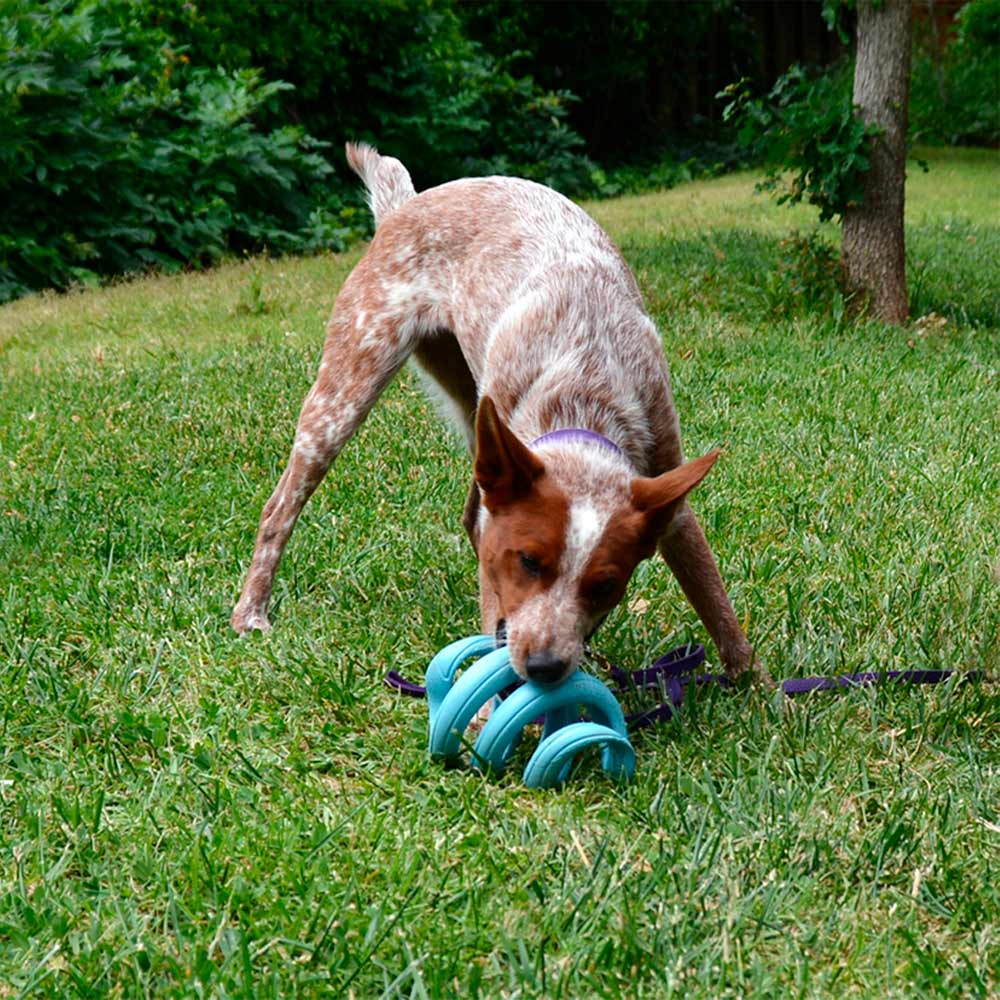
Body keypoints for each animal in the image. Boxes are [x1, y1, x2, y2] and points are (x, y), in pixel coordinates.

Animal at [231, 143, 764, 686]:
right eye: (527, 561)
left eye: (605, 585)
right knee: (279, 508)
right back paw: (250, 613)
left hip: (475, 411)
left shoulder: (668, 491)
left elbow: (717, 605)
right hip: (345, 394)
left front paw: (758, 689)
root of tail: (405, 204)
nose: (545, 668)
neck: (584, 386)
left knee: (471, 509)